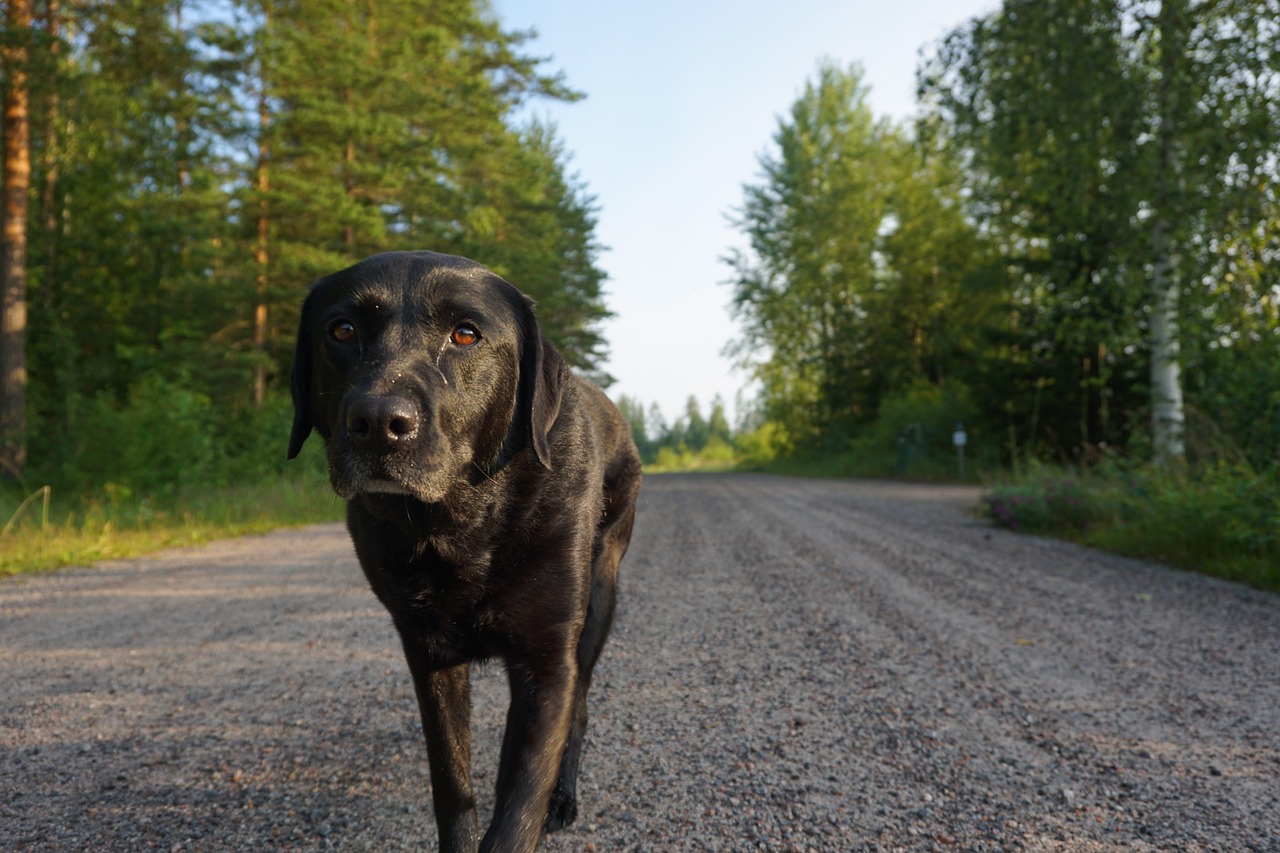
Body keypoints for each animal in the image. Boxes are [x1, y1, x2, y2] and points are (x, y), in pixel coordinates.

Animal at [288, 249, 640, 845]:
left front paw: (538, 806)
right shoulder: (427, 656)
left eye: (466, 334)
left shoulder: (548, 662)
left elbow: (518, 810)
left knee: (582, 708)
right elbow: (452, 785)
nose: (378, 423)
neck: (462, 525)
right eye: (342, 329)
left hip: (600, 598)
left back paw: (563, 798)